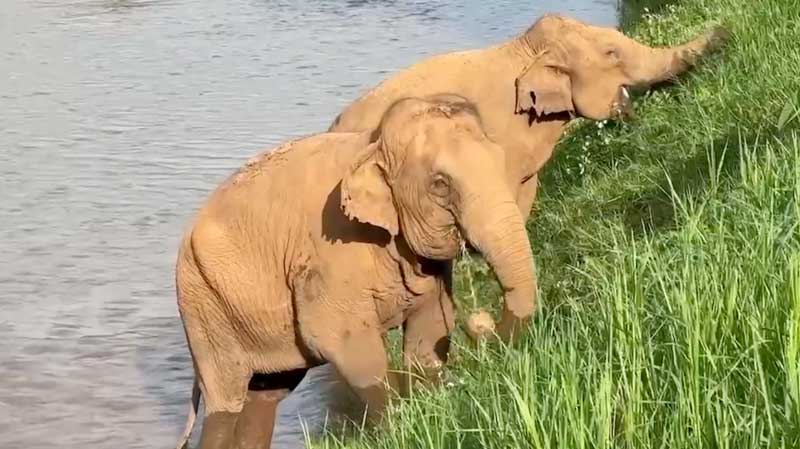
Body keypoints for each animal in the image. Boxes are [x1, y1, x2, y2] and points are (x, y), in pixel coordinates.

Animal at [175, 95, 536, 448]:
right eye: (440, 184)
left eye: (501, 161)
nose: (482, 324)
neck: (373, 144)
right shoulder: (330, 253)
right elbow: (345, 343)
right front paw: (397, 428)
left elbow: (431, 329)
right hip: (204, 306)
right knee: (227, 398)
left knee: (265, 395)